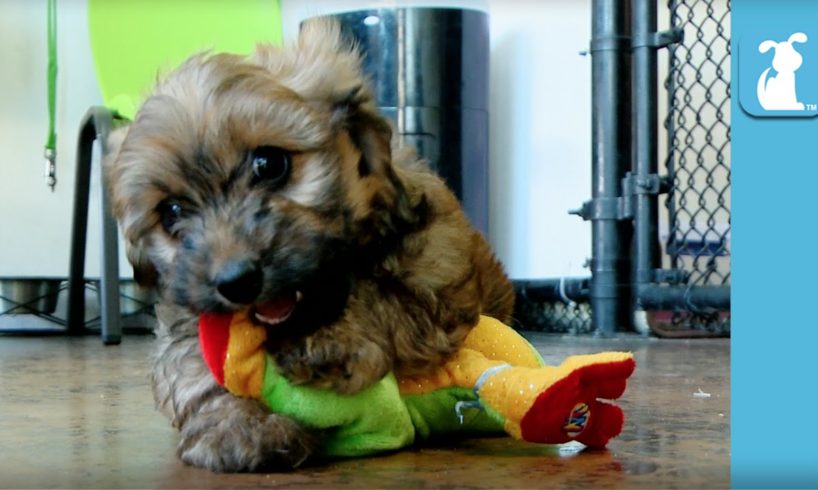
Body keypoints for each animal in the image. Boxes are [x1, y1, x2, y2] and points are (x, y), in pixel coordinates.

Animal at [102, 21, 510, 472]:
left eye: (269, 164)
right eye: (171, 212)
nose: (237, 281)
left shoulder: (437, 272)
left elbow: (386, 298)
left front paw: (334, 340)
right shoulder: (188, 304)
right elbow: (190, 358)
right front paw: (239, 422)